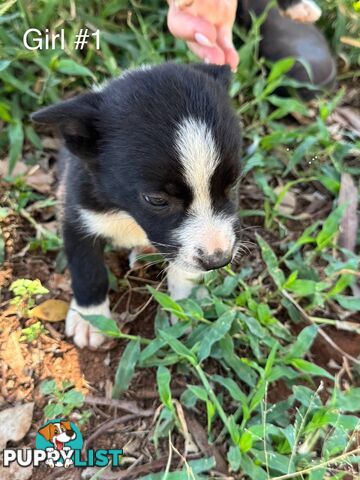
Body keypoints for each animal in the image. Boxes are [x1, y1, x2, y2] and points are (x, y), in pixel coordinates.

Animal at [32, 62, 242, 348]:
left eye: (233, 184)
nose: (218, 260)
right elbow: (88, 268)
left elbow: (182, 268)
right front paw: (90, 318)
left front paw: (185, 307)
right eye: (156, 200)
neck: (128, 214)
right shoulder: (76, 211)